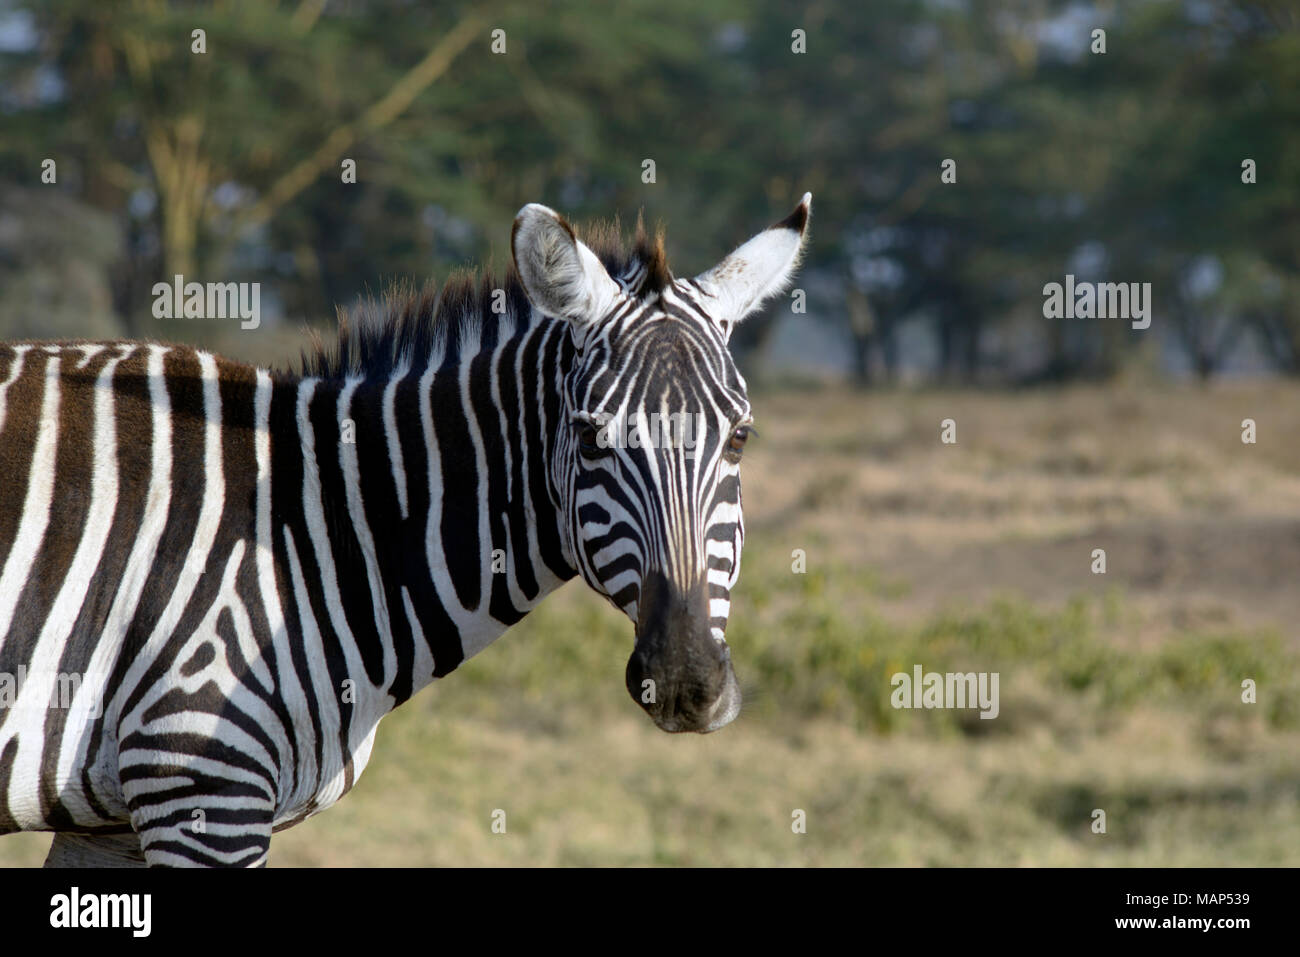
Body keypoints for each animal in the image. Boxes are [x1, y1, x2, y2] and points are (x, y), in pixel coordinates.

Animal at [0, 195, 811, 868]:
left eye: (740, 438)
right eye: (590, 436)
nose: (685, 681)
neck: (320, 525)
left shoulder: (112, 821)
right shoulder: (196, 779)